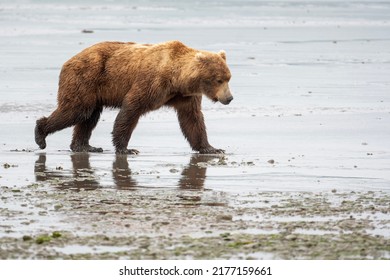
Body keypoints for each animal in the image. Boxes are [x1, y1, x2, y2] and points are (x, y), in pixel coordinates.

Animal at [35, 40, 233, 154]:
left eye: (228, 78)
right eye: (219, 79)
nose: (229, 98)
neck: (176, 79)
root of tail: (68, 60)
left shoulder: (185, 96)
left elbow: (192, 120)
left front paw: (212, 148)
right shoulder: (152, 83)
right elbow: (131, 109)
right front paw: (126, 148)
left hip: (93, 90)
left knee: (89, 117)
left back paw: (85, 146)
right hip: (85, 78)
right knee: (76, 111)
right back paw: (40, 134)